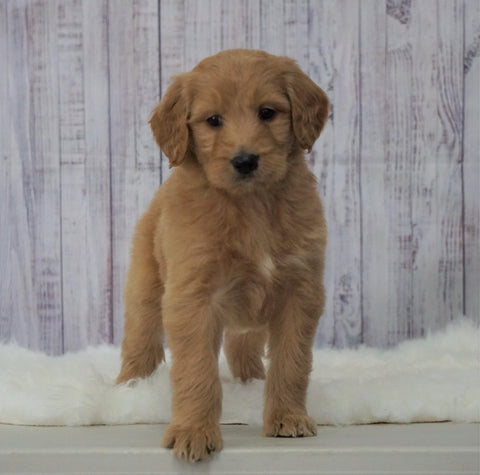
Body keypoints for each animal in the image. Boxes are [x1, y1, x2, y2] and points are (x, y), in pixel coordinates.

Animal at [116, 48, 328, 462]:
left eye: (267, 112)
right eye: (213, 120)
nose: (245, 161)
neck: (252, 206)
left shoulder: (300, 291)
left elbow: (292, 361)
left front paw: (288, 417)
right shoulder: (194, 297)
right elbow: (197, 369)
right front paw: (193, 432)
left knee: (242, 345)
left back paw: (251, 381)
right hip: (146, 288)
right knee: (139, 340)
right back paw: (128, 391)